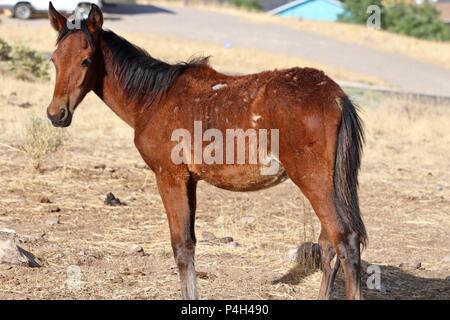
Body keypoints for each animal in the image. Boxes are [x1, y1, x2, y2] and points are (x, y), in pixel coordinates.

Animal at [47, 3, 368, 300]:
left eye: (86, 60)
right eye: (54, 59)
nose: (56, 114)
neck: (154, 98)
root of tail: (337, 96)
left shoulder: (170, 177)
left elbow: (181, 246)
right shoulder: (190, 181)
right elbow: (190, 243)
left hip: (313, 181)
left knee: (345, 241)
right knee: (328, 247)